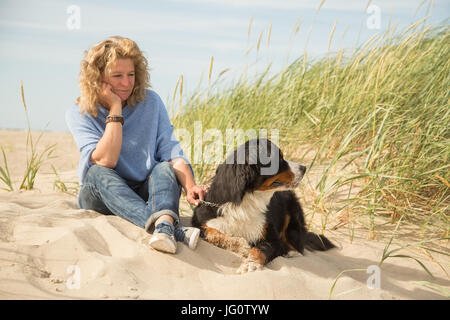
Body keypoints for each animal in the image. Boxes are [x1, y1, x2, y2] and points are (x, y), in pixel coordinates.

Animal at [192, 139, 336, 274]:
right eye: (279, 159)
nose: (304, 168)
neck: (245, 202)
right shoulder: (202, 221)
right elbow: (213, 232)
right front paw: (242, 245)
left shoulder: (273, 239)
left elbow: (260, 250)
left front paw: (250, 264)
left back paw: (291, 252)